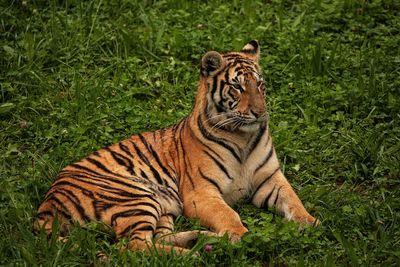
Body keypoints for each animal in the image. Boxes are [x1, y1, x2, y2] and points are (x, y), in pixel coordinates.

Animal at [35, 39, 318, 255]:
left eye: (260, 84)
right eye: (237, 87)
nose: (260, 113)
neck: (243, 138)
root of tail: (47, 203)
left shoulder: (270, 179)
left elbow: (293, 201)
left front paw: (311, 223)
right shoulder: (201, 194)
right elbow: (228, 215)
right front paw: (242, 235)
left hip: (163, 208)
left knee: (155, 240)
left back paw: (201, 240)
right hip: (136, 196)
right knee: (134, 248)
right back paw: (195, 254)